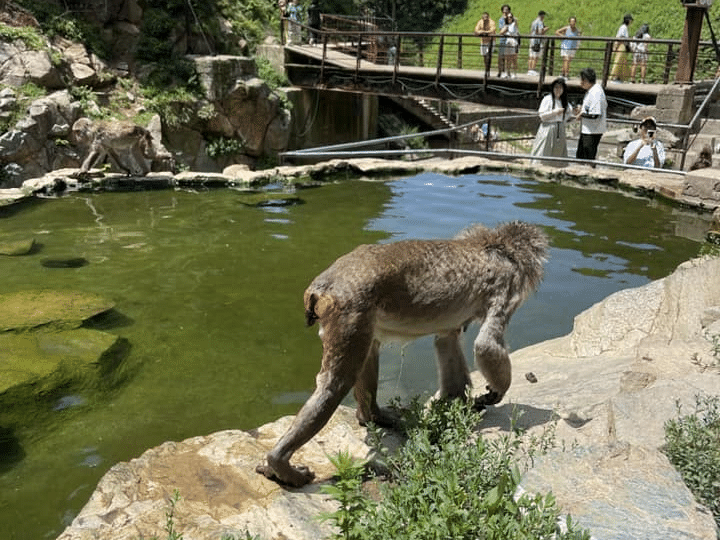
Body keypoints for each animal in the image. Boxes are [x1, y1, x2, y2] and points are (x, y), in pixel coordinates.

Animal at [256, 221, 548, 488]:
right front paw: (496, 391)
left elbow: (447, 340)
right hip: (349, 311)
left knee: (369, 352)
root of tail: (323, 286)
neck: (492, 245)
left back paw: (372, 416)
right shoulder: (506, 285)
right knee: (335, 384)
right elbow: (486, 345)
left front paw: (459, 400)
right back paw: (280, 463)